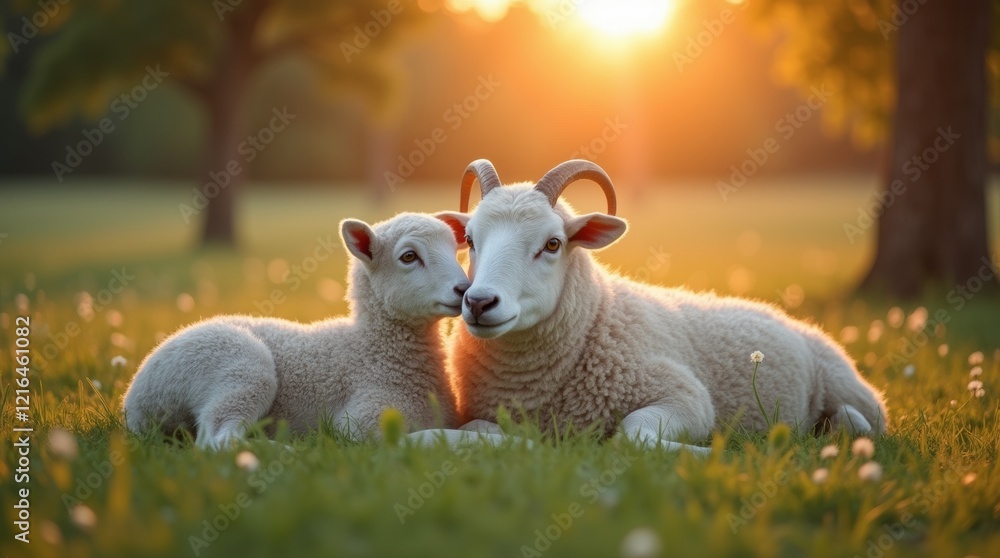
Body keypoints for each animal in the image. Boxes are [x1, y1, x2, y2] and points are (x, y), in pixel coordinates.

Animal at [122, 212, 476, 449]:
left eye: (455, 249)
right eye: (408, 256)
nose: (464, 290)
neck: (371, 351)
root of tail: (134, 395)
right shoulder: (359, 424)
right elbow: (421, 438)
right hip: (236, 366)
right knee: (217, 439)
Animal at [433, 159, 888, 454]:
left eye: (553, 244)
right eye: (469, 240)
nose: (479, 302)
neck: (595, 318)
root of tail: (783, 314)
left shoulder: (687, 398)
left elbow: (634, 436)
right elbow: (477, 427)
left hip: (848, 386)